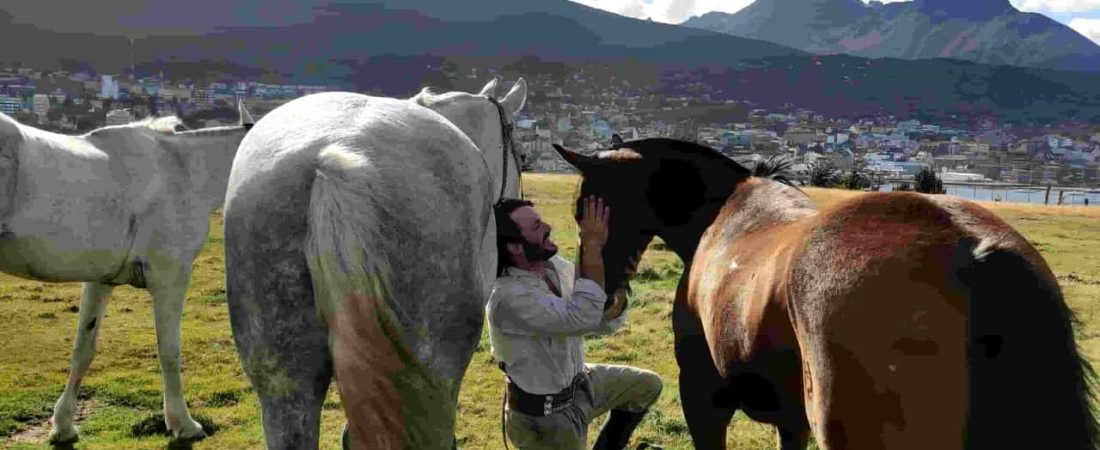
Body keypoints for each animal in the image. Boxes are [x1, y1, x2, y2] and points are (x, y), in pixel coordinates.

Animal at [0, 103, 255, 444]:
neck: (184, 172)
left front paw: (64, 426)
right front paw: (184, 424)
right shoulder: (170, 278)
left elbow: (83, 348)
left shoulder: (100, 280)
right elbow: (169, 352)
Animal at [554, 137, 1095, 448]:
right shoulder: (792, 421)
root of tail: (973, 248)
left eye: (585, 209)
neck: (723, 215)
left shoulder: (703, 401)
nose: (604, 295)